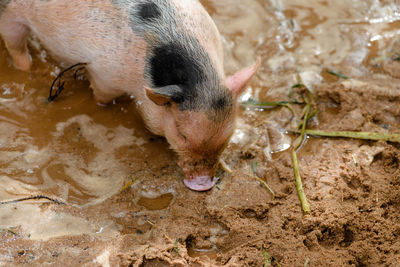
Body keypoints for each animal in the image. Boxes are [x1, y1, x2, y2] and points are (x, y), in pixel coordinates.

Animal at [0, 0, 260, 193]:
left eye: (228, 135)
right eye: (182, 134)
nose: (203, 183)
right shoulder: (103, 75)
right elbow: (102, 98)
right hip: (11, 17)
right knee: (17, 51)